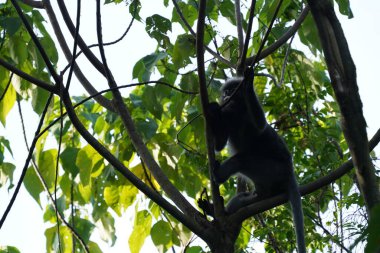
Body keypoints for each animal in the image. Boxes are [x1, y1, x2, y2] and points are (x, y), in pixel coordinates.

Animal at [205, 68, 306, 253]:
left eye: (232, 91)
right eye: (226, 92)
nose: (227, 96)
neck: (237, 111)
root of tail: (290, 172)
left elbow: (260, 124)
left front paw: (248, 83)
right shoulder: (226, 114)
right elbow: (219, 144)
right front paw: (213, 110)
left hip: (272, 169)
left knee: (242, 159)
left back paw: (218, 176)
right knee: (243, 199)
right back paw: (218, 210)